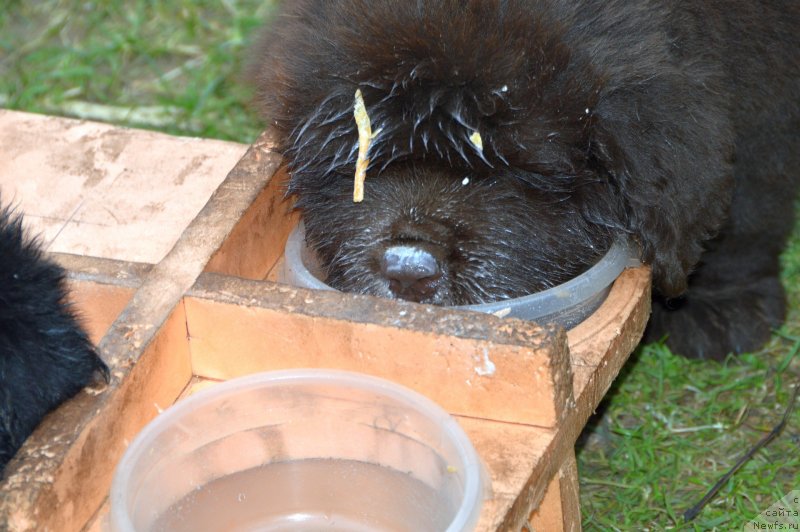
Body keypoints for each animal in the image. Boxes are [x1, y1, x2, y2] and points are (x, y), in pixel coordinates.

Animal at [250, 0, 800, 360]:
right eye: (363, 164)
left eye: (513, 169)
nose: (408, 267)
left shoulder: (766, 101)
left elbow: (747, 211)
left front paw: (725, 308)